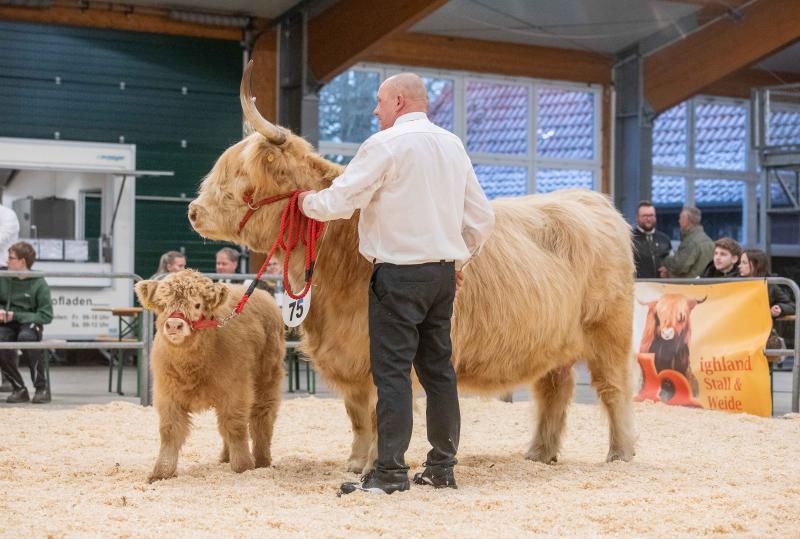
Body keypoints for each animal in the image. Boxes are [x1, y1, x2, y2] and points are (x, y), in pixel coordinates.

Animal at [135, 270, 285, 482]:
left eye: (197, 305)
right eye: (163, 305)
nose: (174, 325)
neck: (191, 367)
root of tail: (264, 294)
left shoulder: (236, 392)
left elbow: (236, 427)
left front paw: (243, 466)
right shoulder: (167, 394)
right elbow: (170, 431)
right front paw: (161, 473)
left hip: (267, 378)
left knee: (262, 418)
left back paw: (262, 460)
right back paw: (225, 457)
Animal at [187, 61, 636, 471]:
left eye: (240, 177)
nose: (194, 211)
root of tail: (591, 199)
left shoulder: (371, 348)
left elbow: (377, 411)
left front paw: (371, 465)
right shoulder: (349, 354)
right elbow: (357, 413)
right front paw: (355, 462)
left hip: (608, 331)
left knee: (613, 388)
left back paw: (620, 453)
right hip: (554, 339)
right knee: (555, 389)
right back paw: (539, 454)